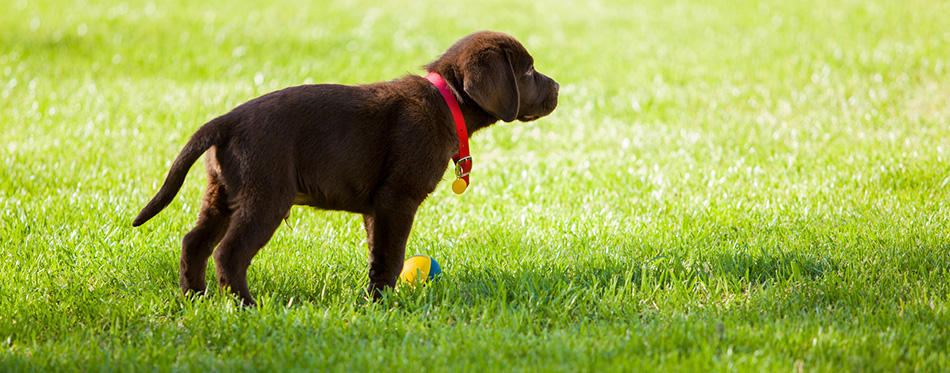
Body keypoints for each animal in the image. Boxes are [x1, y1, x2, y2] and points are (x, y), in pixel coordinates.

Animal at [132, 31, 556, 306]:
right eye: (528, 72)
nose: (558, 88)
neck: (445, 99)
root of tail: (228, 120)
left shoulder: (377, 208)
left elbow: (377, 253)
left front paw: (375, 297)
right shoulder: (398, 199)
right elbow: (392, 254)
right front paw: (381, 305)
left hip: (221, 194)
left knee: (194, 243)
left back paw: (195, 298)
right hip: (265, 197)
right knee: (228, 253)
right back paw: (245, 306)